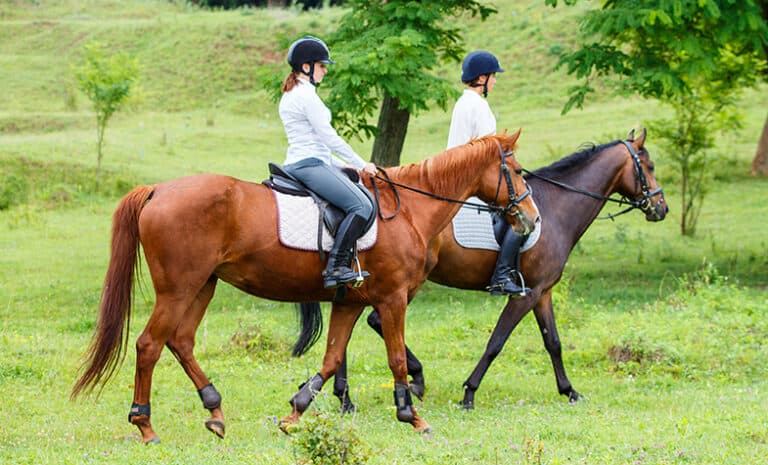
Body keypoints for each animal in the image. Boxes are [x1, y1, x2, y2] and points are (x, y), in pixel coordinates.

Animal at [70, 131, 539, 443]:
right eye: (516, 172)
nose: (531, 219)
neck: (408, 211)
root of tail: (157, 190)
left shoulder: (352, 302)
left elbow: (331, 359)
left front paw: (295, 413)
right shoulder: (392, 299)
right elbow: (395, 359)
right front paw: (412, 415)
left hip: (203, 285)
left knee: (181, 341)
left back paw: (215, 410)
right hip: (179, 288)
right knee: (150, 345)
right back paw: (145, 423)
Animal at [328, 128, 668, 411]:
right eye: (649, 166)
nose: (661, 207)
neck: (556, 208)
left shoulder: (542, 292)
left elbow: (554, 343)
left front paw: (569, 391)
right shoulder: (525, 295)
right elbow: (497, 342)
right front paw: (469, 392)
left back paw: (345, 397)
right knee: (371, 321)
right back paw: (390, 385)